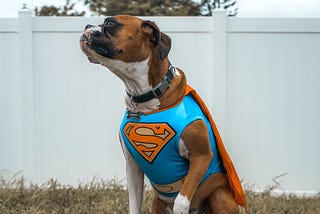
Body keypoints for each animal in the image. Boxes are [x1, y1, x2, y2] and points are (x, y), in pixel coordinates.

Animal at [80, 14, 248, 213]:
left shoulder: (201, 157)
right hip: (157, 202)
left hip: (220, 195)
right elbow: (134, 203)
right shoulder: (132, 166)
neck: (146, 98)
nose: (87, 25)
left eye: (109, 23)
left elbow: (181, 200)